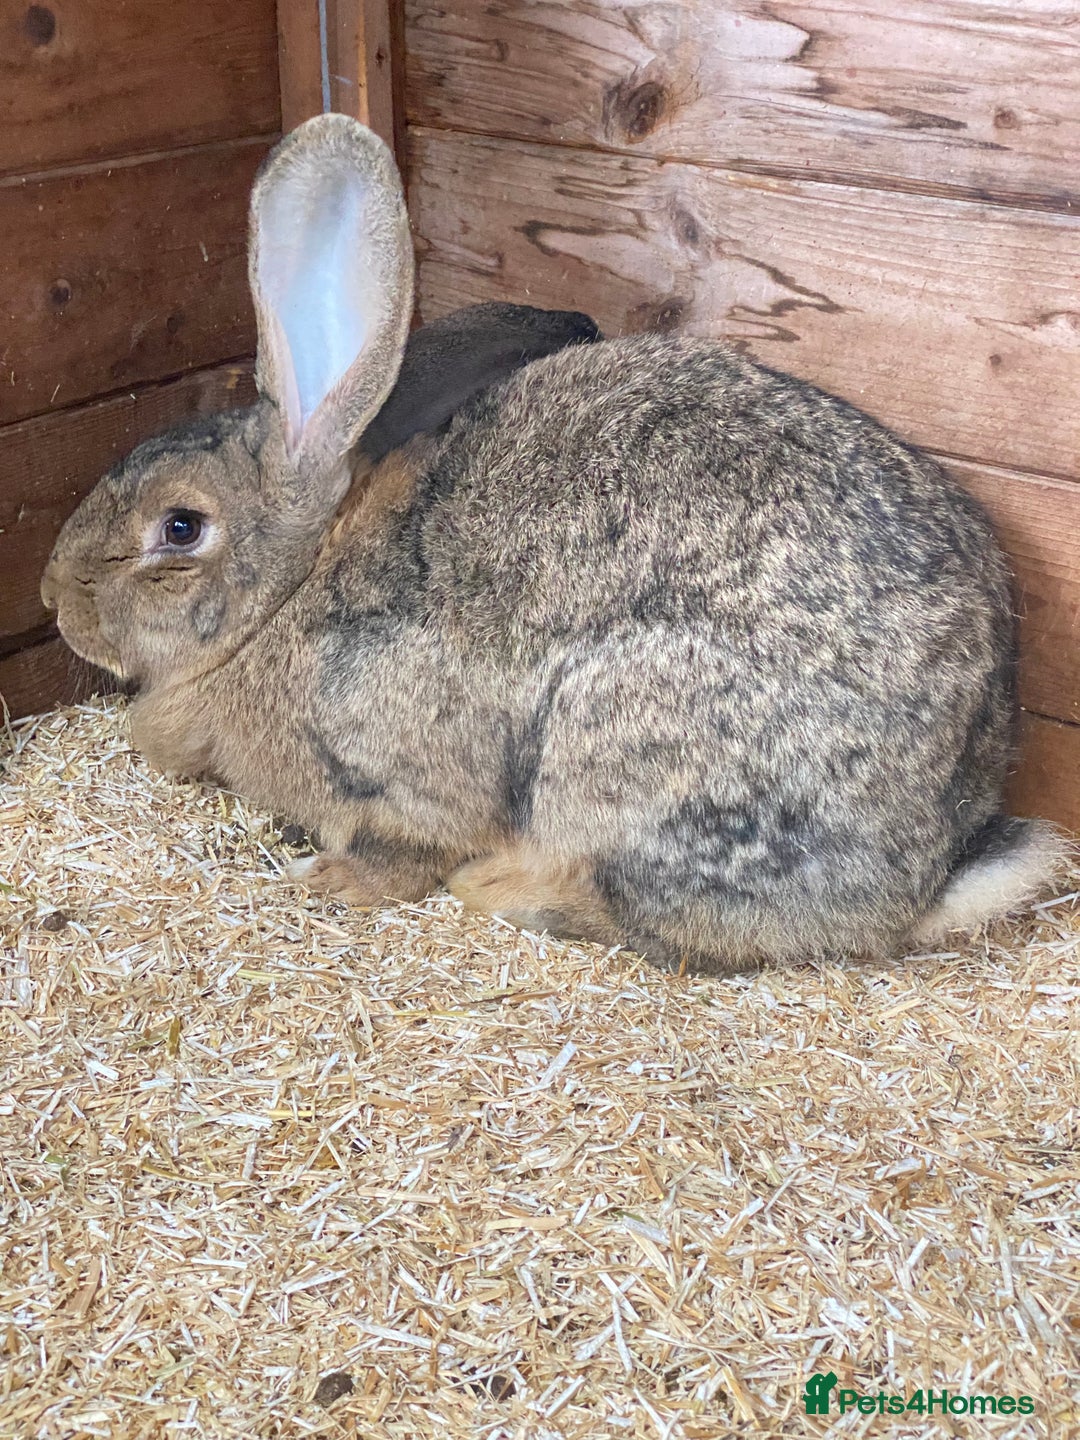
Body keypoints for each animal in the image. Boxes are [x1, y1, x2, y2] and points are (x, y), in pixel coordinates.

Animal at [41, 114, 1065, 973]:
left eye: (179, 529)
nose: (53, 598)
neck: (290, 595)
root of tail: (930, 868)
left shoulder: (407, 777)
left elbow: (400, 850)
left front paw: (327, 880)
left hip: (616, 752)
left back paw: (504, 889)